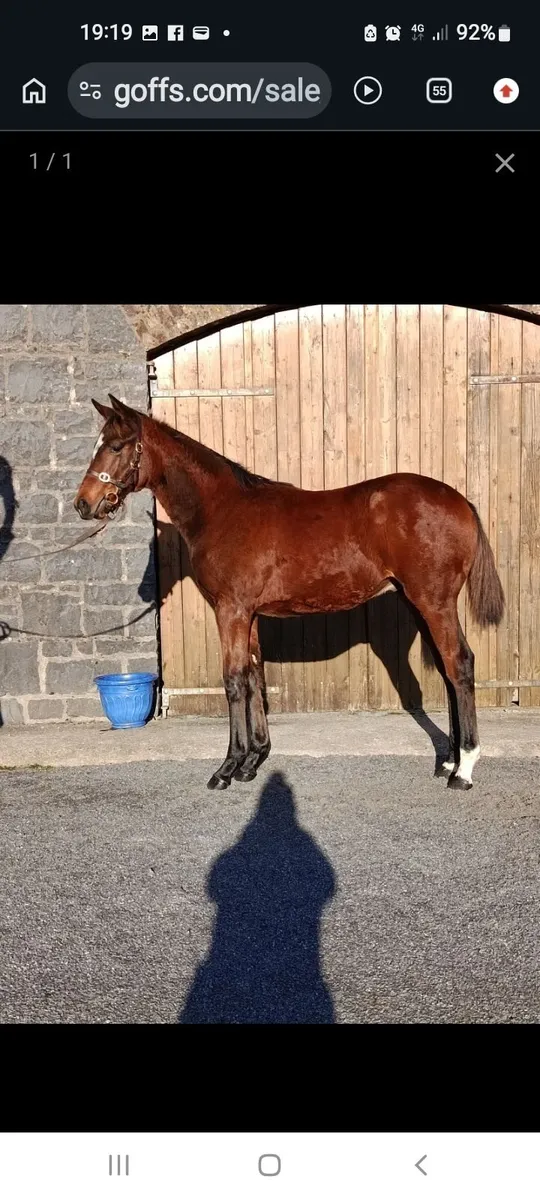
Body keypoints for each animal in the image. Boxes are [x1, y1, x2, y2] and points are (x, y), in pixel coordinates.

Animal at [75, 394, 505, 793]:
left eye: (116, 446)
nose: (83, 504)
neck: (222, 510)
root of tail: (460, 500)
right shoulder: (248, 614)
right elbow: (254, 678)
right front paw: (252, 762)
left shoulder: (231, 611)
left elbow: (233, 681)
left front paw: (226, 768)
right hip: (419, 603)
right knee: (448, 672)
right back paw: (448, 762)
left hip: (434, 603)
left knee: (460, 665)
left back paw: (463, 770)